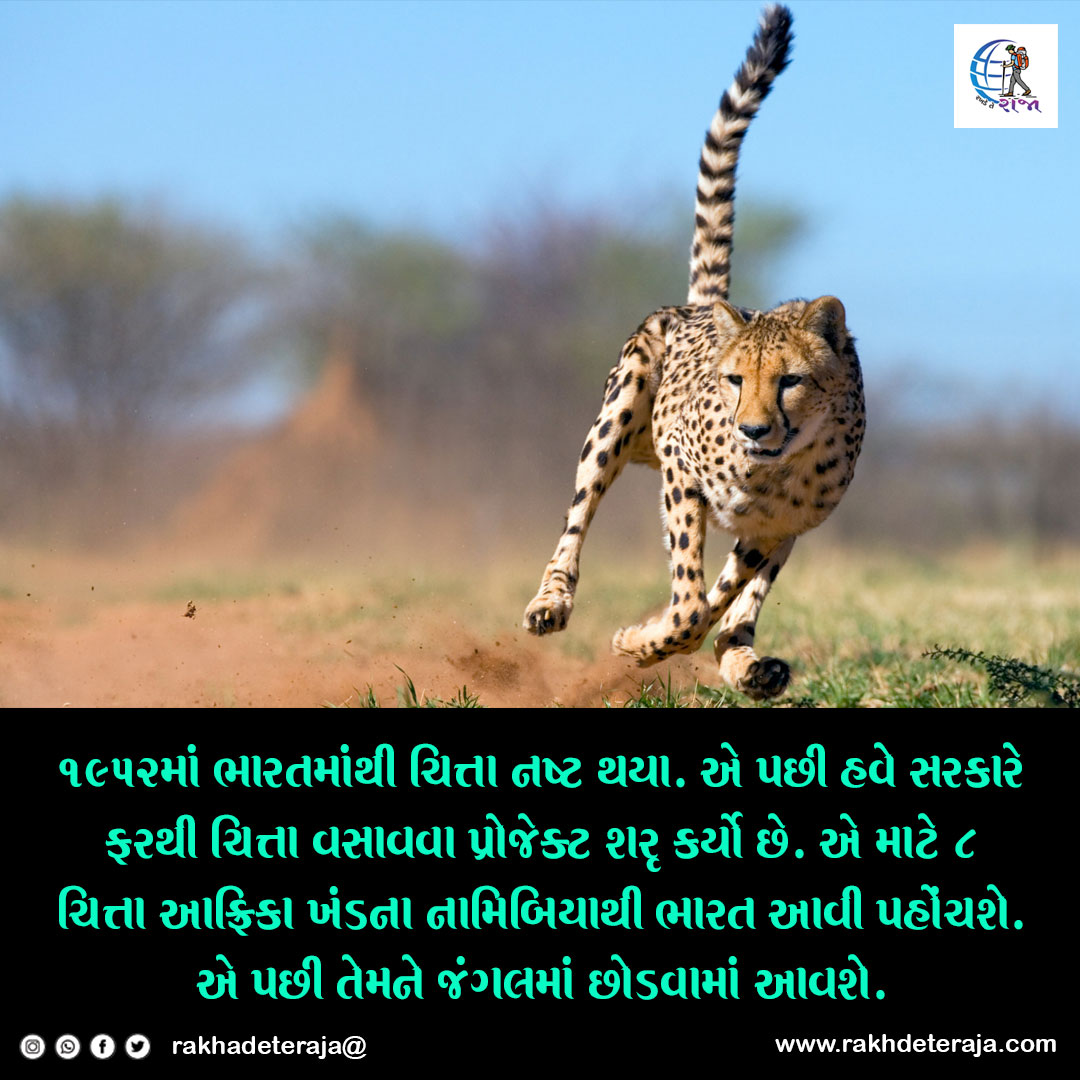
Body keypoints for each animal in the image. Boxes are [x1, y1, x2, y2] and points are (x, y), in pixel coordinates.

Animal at [523, 3, 865, 701]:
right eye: (735, 380)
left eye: (790, 381)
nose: (753, 428)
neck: (776, 466)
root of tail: (706, 305)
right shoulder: (682, 474)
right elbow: (688, 603)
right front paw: (641, 641)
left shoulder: (776, 526)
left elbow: (718, 599)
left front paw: (659, 641)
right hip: (619, 413)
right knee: (578, 517)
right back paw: (552, 602)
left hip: (779, 532)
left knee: (736, 605)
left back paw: (748, 662)